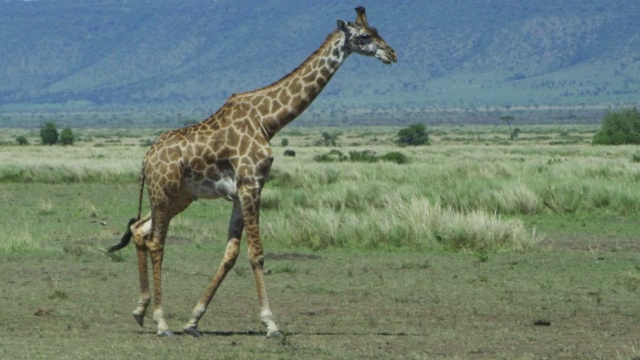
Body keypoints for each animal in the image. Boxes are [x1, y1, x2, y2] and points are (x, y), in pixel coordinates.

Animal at [110, 6, 396, 338]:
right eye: (363, 36)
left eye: (377, 30)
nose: (391, 54)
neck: (267, 121)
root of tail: (147, 158)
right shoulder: (252, 185)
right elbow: (256, 253)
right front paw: (271, 323)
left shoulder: (239, 193)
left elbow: (230, 254)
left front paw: (194, 320)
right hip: (163, 193)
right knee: (155, 242)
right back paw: (160, 321)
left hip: (179, 197)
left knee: (139, 230)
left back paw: (140, 310)